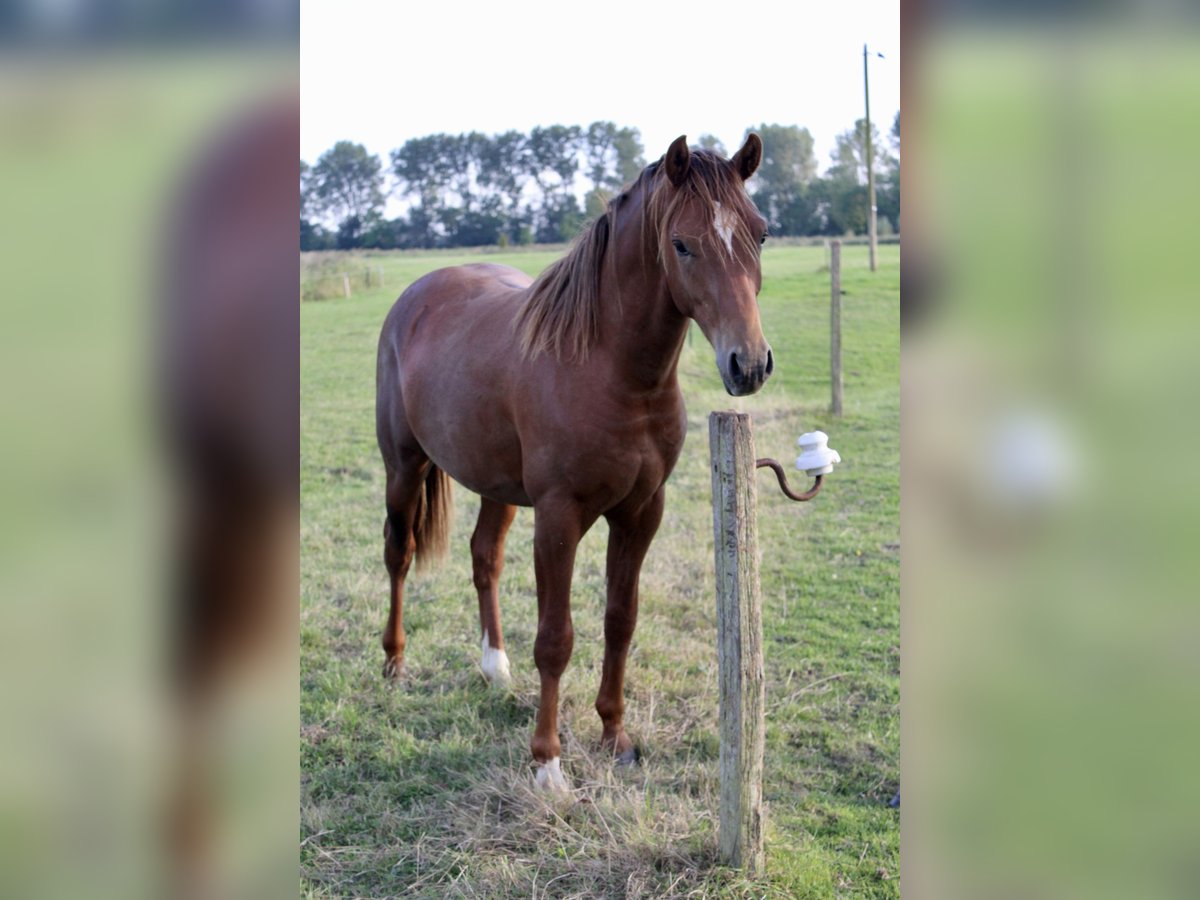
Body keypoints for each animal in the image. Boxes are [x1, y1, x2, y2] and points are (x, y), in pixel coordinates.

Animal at [372, 132, 768, 787]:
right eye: (681, 243)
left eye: (760, 233)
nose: (750, 364)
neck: (609, 370)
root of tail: (417, 294)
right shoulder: (559, 518)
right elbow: (556, 638)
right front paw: (548, 766)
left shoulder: (641, 513)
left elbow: (620, 619)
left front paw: (615, 736)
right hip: (404, 468)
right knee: (398, 555)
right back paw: (395, 663)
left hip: (497, 487)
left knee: (485, 557)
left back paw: (494, 667)